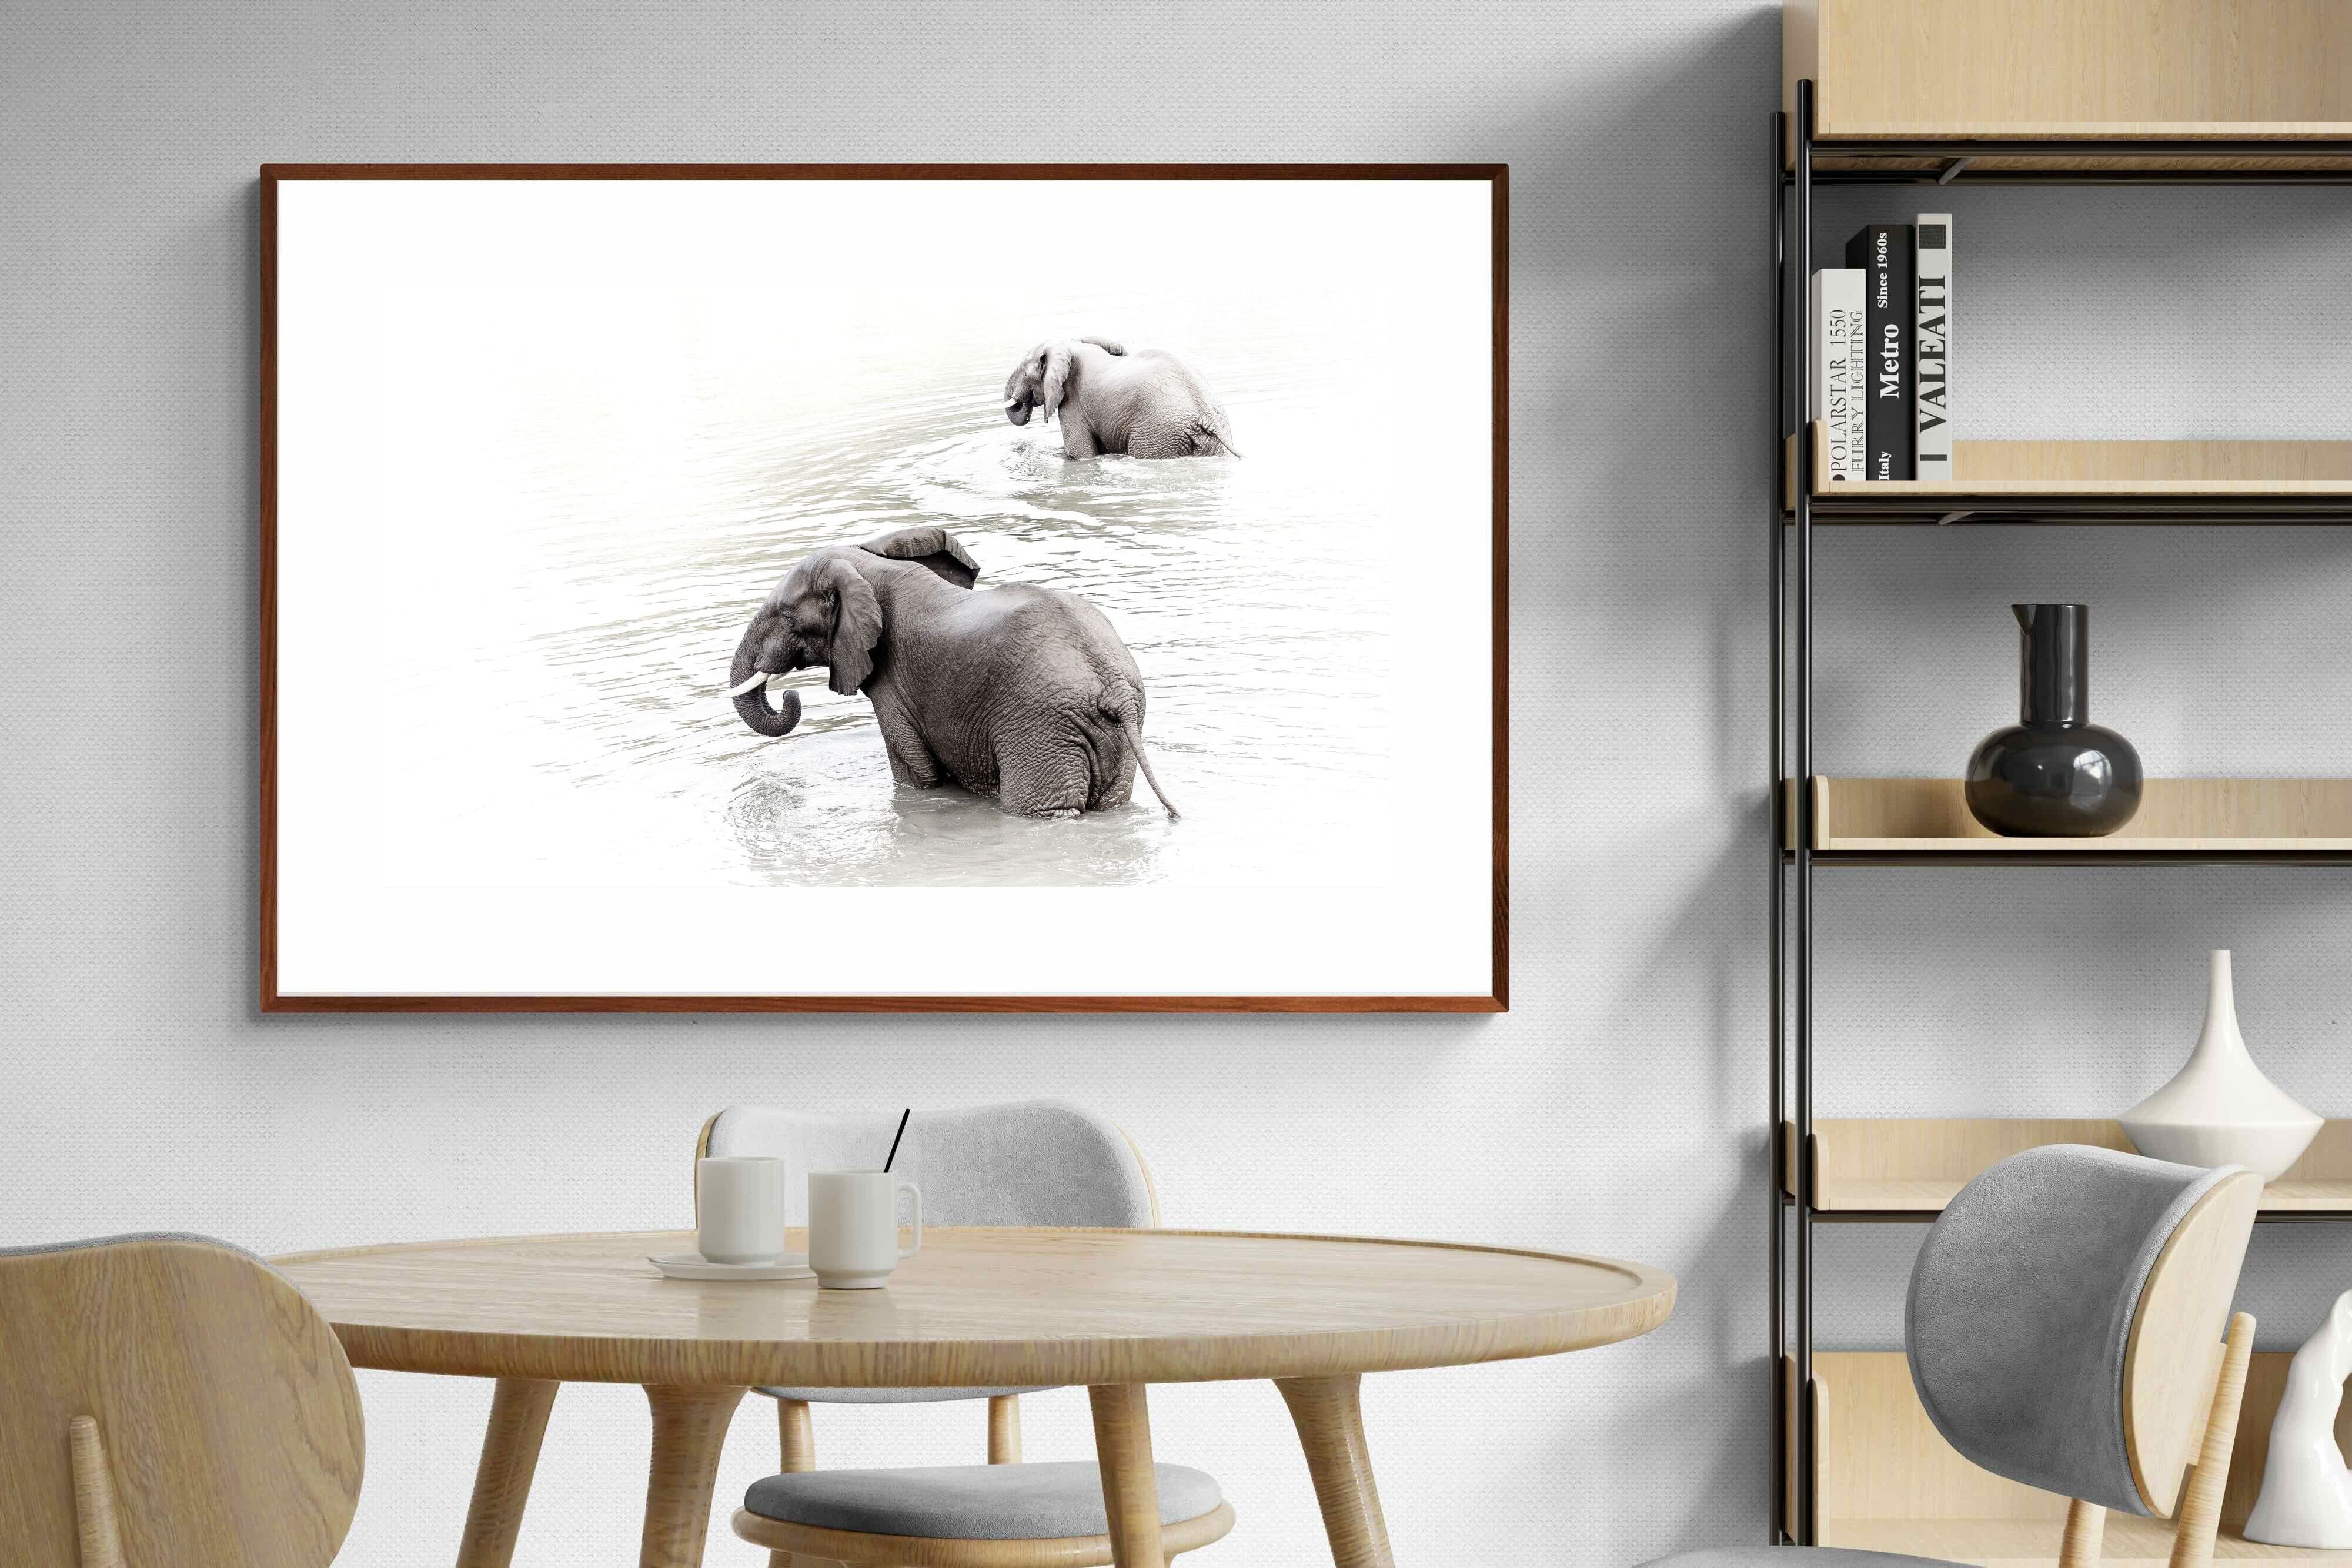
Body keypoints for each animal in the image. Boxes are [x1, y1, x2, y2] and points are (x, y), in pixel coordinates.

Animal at [726, 525, 1178, 819]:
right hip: (1113, 734)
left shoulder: (893, 686)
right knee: (1112, 804)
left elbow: (914, 775)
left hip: (1041, 728)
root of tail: (1113, 685)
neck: (870, 566)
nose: (790, 694)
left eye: (787, 616)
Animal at [1002, 337, 1240, 459]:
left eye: (1024, 371)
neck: (1069, 344)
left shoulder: (1073, 403)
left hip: (1158, 433)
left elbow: (1080, 455)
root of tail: (1206, 411)